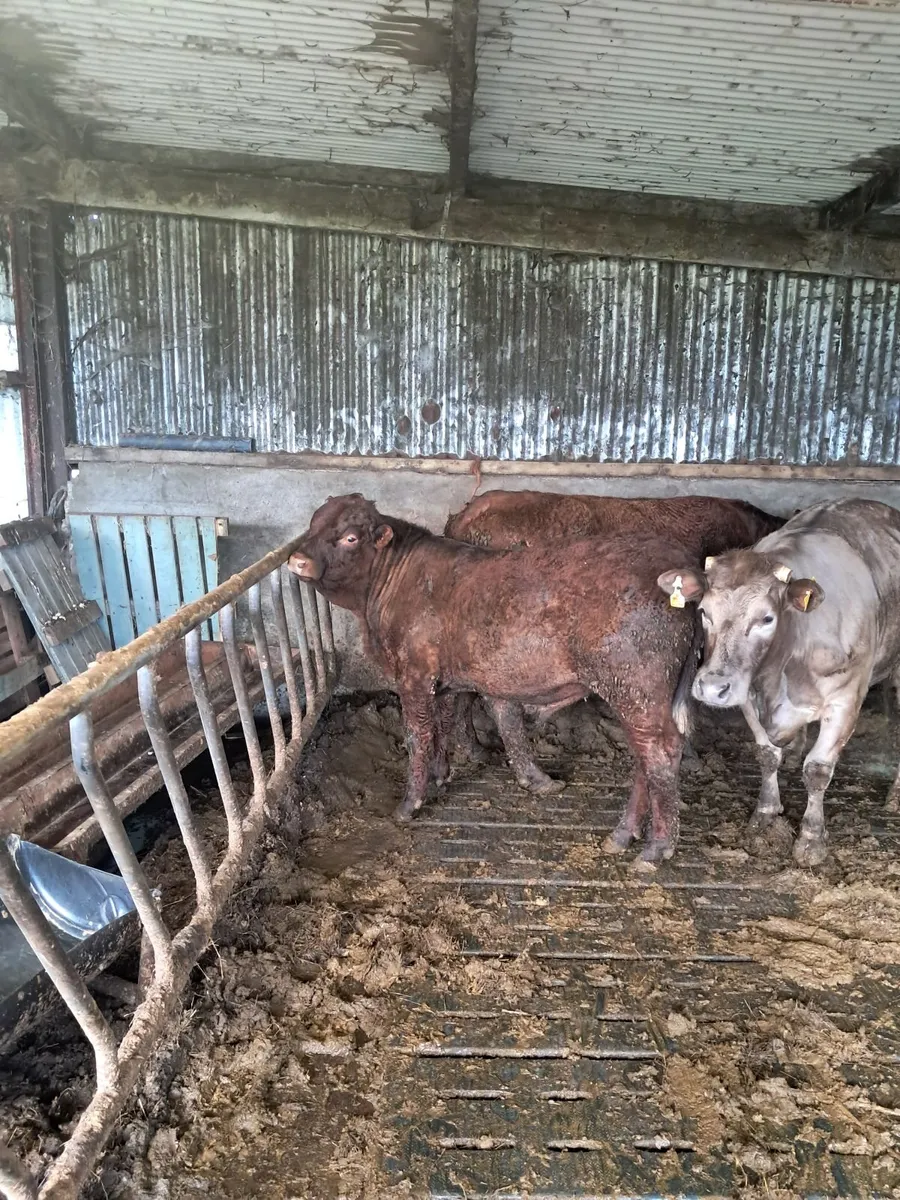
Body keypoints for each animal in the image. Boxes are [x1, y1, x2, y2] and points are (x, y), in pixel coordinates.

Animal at [288, 493, 703, 865]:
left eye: (350, 537)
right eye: (313, 523)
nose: (296, 559)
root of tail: (675, 562)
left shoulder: (414, 675)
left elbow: (419, 735)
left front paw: (411, 803)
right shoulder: (451, 679)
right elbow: (451, 724)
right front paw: (444, 775)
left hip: (636, 689)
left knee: (660, 753)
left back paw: (656, 848)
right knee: (645, 758)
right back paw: (623, 835)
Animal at [657, 497, 900, 866]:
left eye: (766, 618)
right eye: (703, 612)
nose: (712, 687)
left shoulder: (845, 700)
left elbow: (818, 770)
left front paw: (811, 839)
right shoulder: (747, 694)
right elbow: (766, 755)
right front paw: (766, 814)